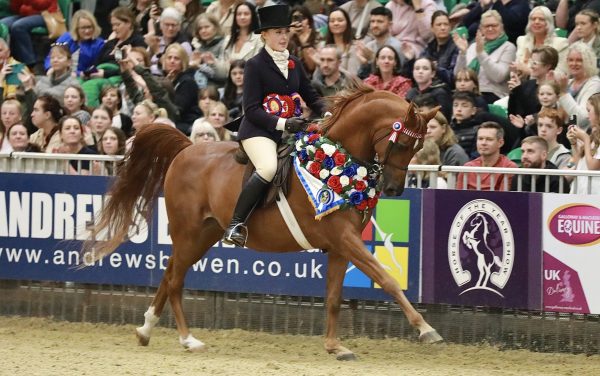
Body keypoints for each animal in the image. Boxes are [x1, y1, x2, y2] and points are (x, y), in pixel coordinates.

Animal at [83, 83, 440, 360]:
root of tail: (185, 149)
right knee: (174, 280)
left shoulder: (342, 244)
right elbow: (387, 279)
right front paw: (426, 329)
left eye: (419, 146)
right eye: (403, 143)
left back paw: (146, 329)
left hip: (203, 234)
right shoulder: (344, 239)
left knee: (170, 273)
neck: (338, 158)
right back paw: (188, 339)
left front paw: (334, 347)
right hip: (189, 232)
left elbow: (334, 298)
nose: (394, 189)